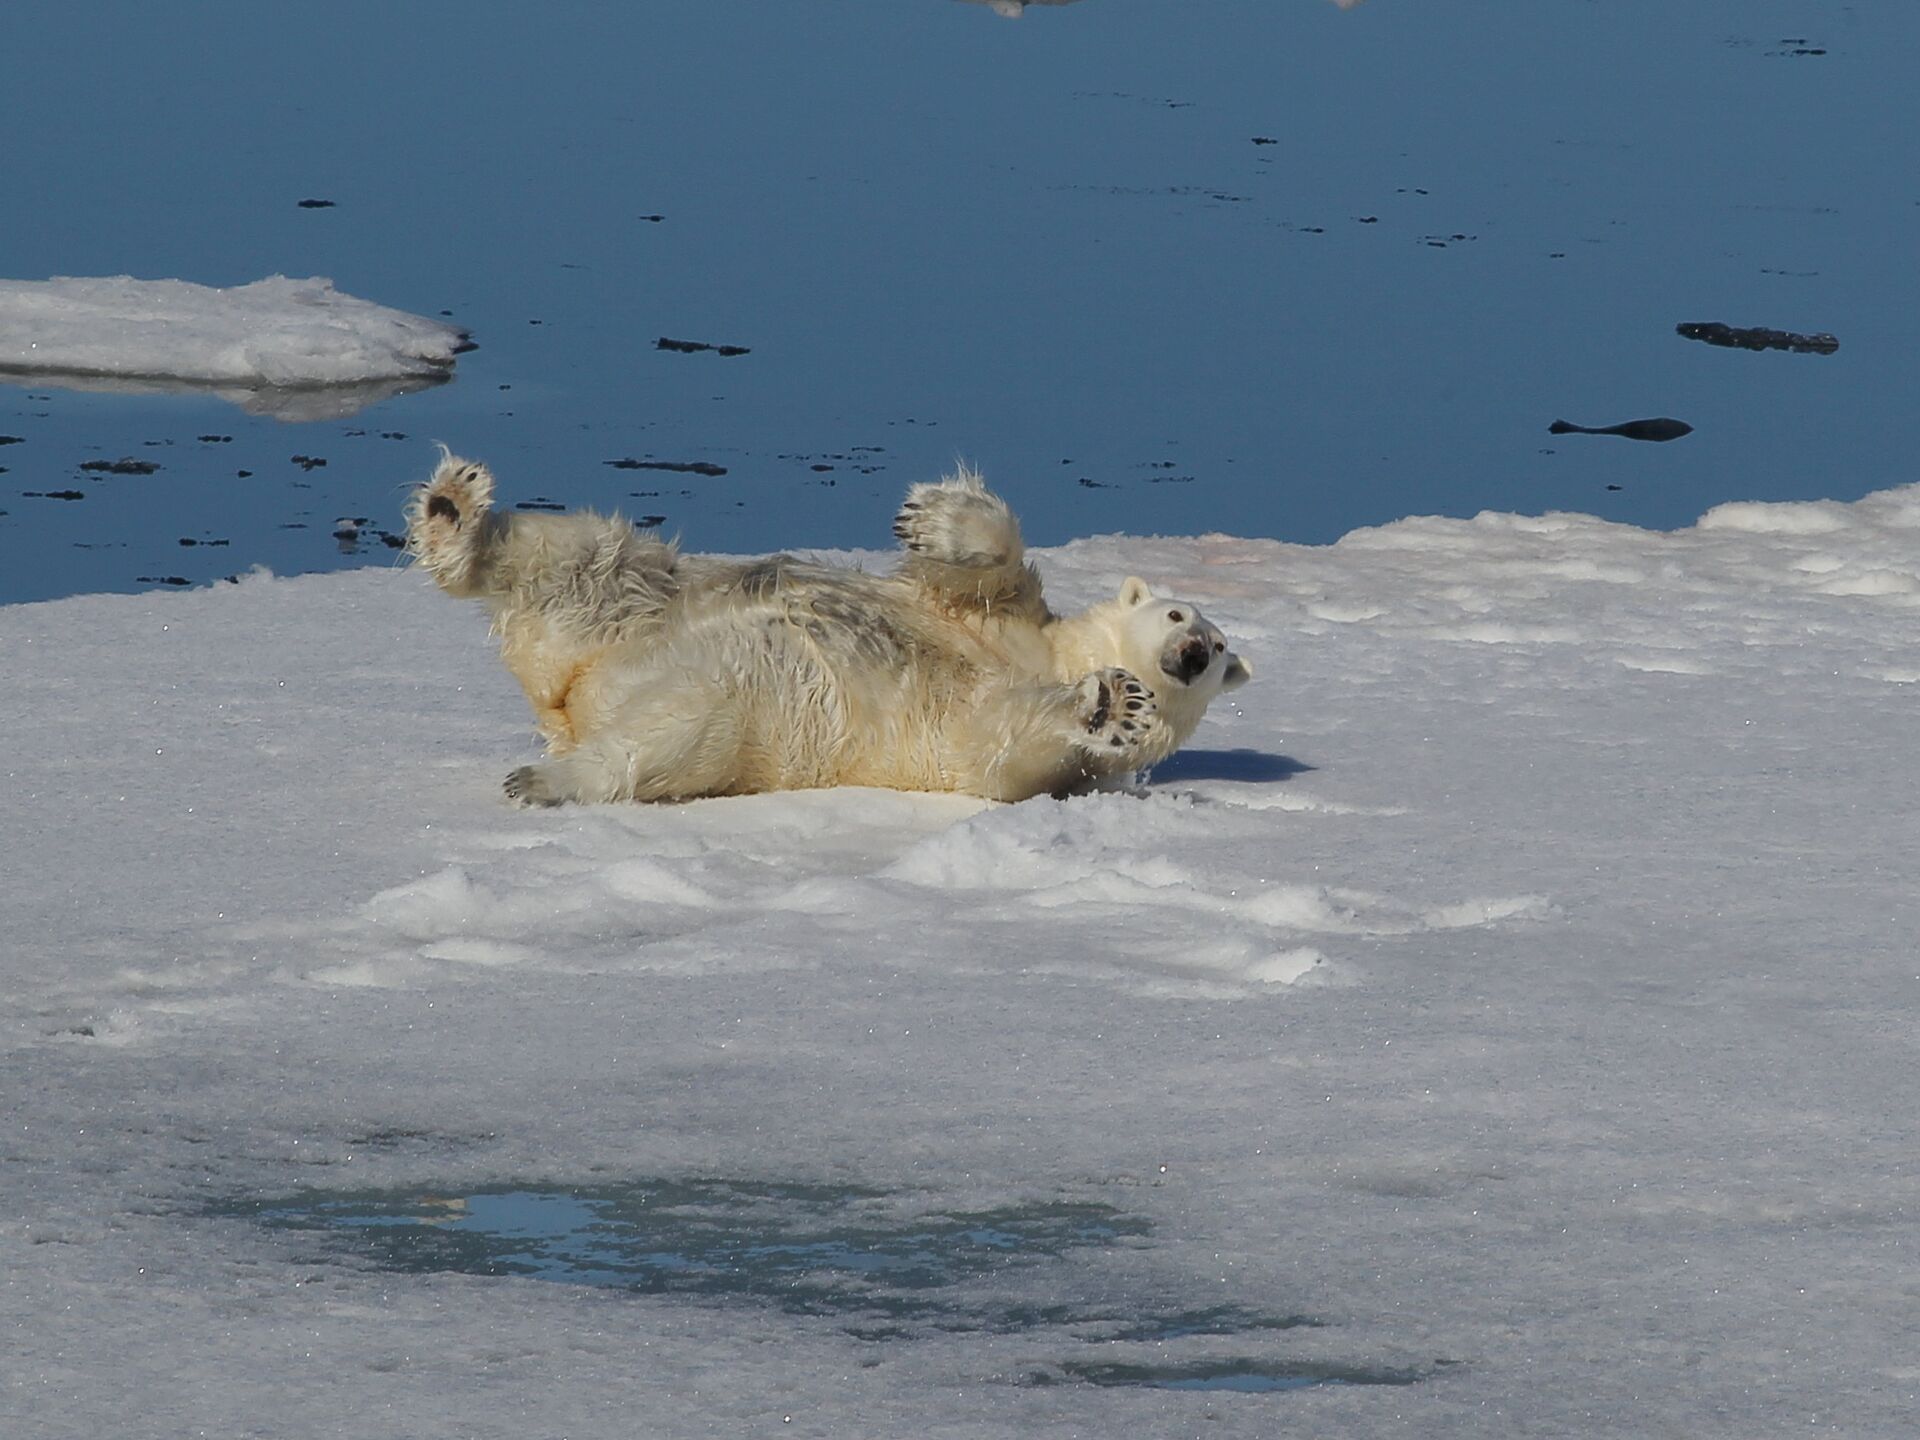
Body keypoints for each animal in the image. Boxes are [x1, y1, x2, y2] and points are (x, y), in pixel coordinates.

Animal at [405, 451, 1251, 806]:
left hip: (746, 709)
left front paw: (1111, 702)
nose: (1192, 650)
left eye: (1217, 656)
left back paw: (543, 778)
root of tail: (567, 697)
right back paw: (454, 510)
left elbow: (1003, 740)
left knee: (671, 731)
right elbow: (990, 567)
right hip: (640, 604)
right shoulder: (1005, 621)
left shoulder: (1018, 756)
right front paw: (930, 517)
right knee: (587, 557)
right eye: (1180, 614)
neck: (1055, 657)